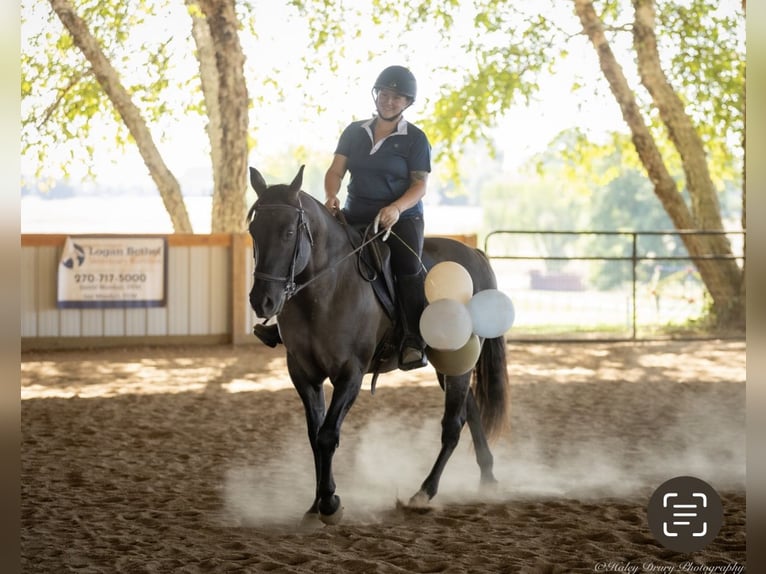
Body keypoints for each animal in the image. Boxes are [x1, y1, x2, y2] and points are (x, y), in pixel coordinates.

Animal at [246, 165, 510, 525]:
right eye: (253, 230)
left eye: (288, 232)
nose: (262, 301)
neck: (325, 290)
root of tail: (474, 254)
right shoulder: (302, 373)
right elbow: (315, 436)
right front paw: (315, 505)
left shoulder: (350, 373)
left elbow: (328, 435)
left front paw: (330, 504)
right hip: (450, 363)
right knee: (469, 410)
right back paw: (488, 477)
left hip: (459, 359)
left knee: (453, 426)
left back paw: (424, 492)